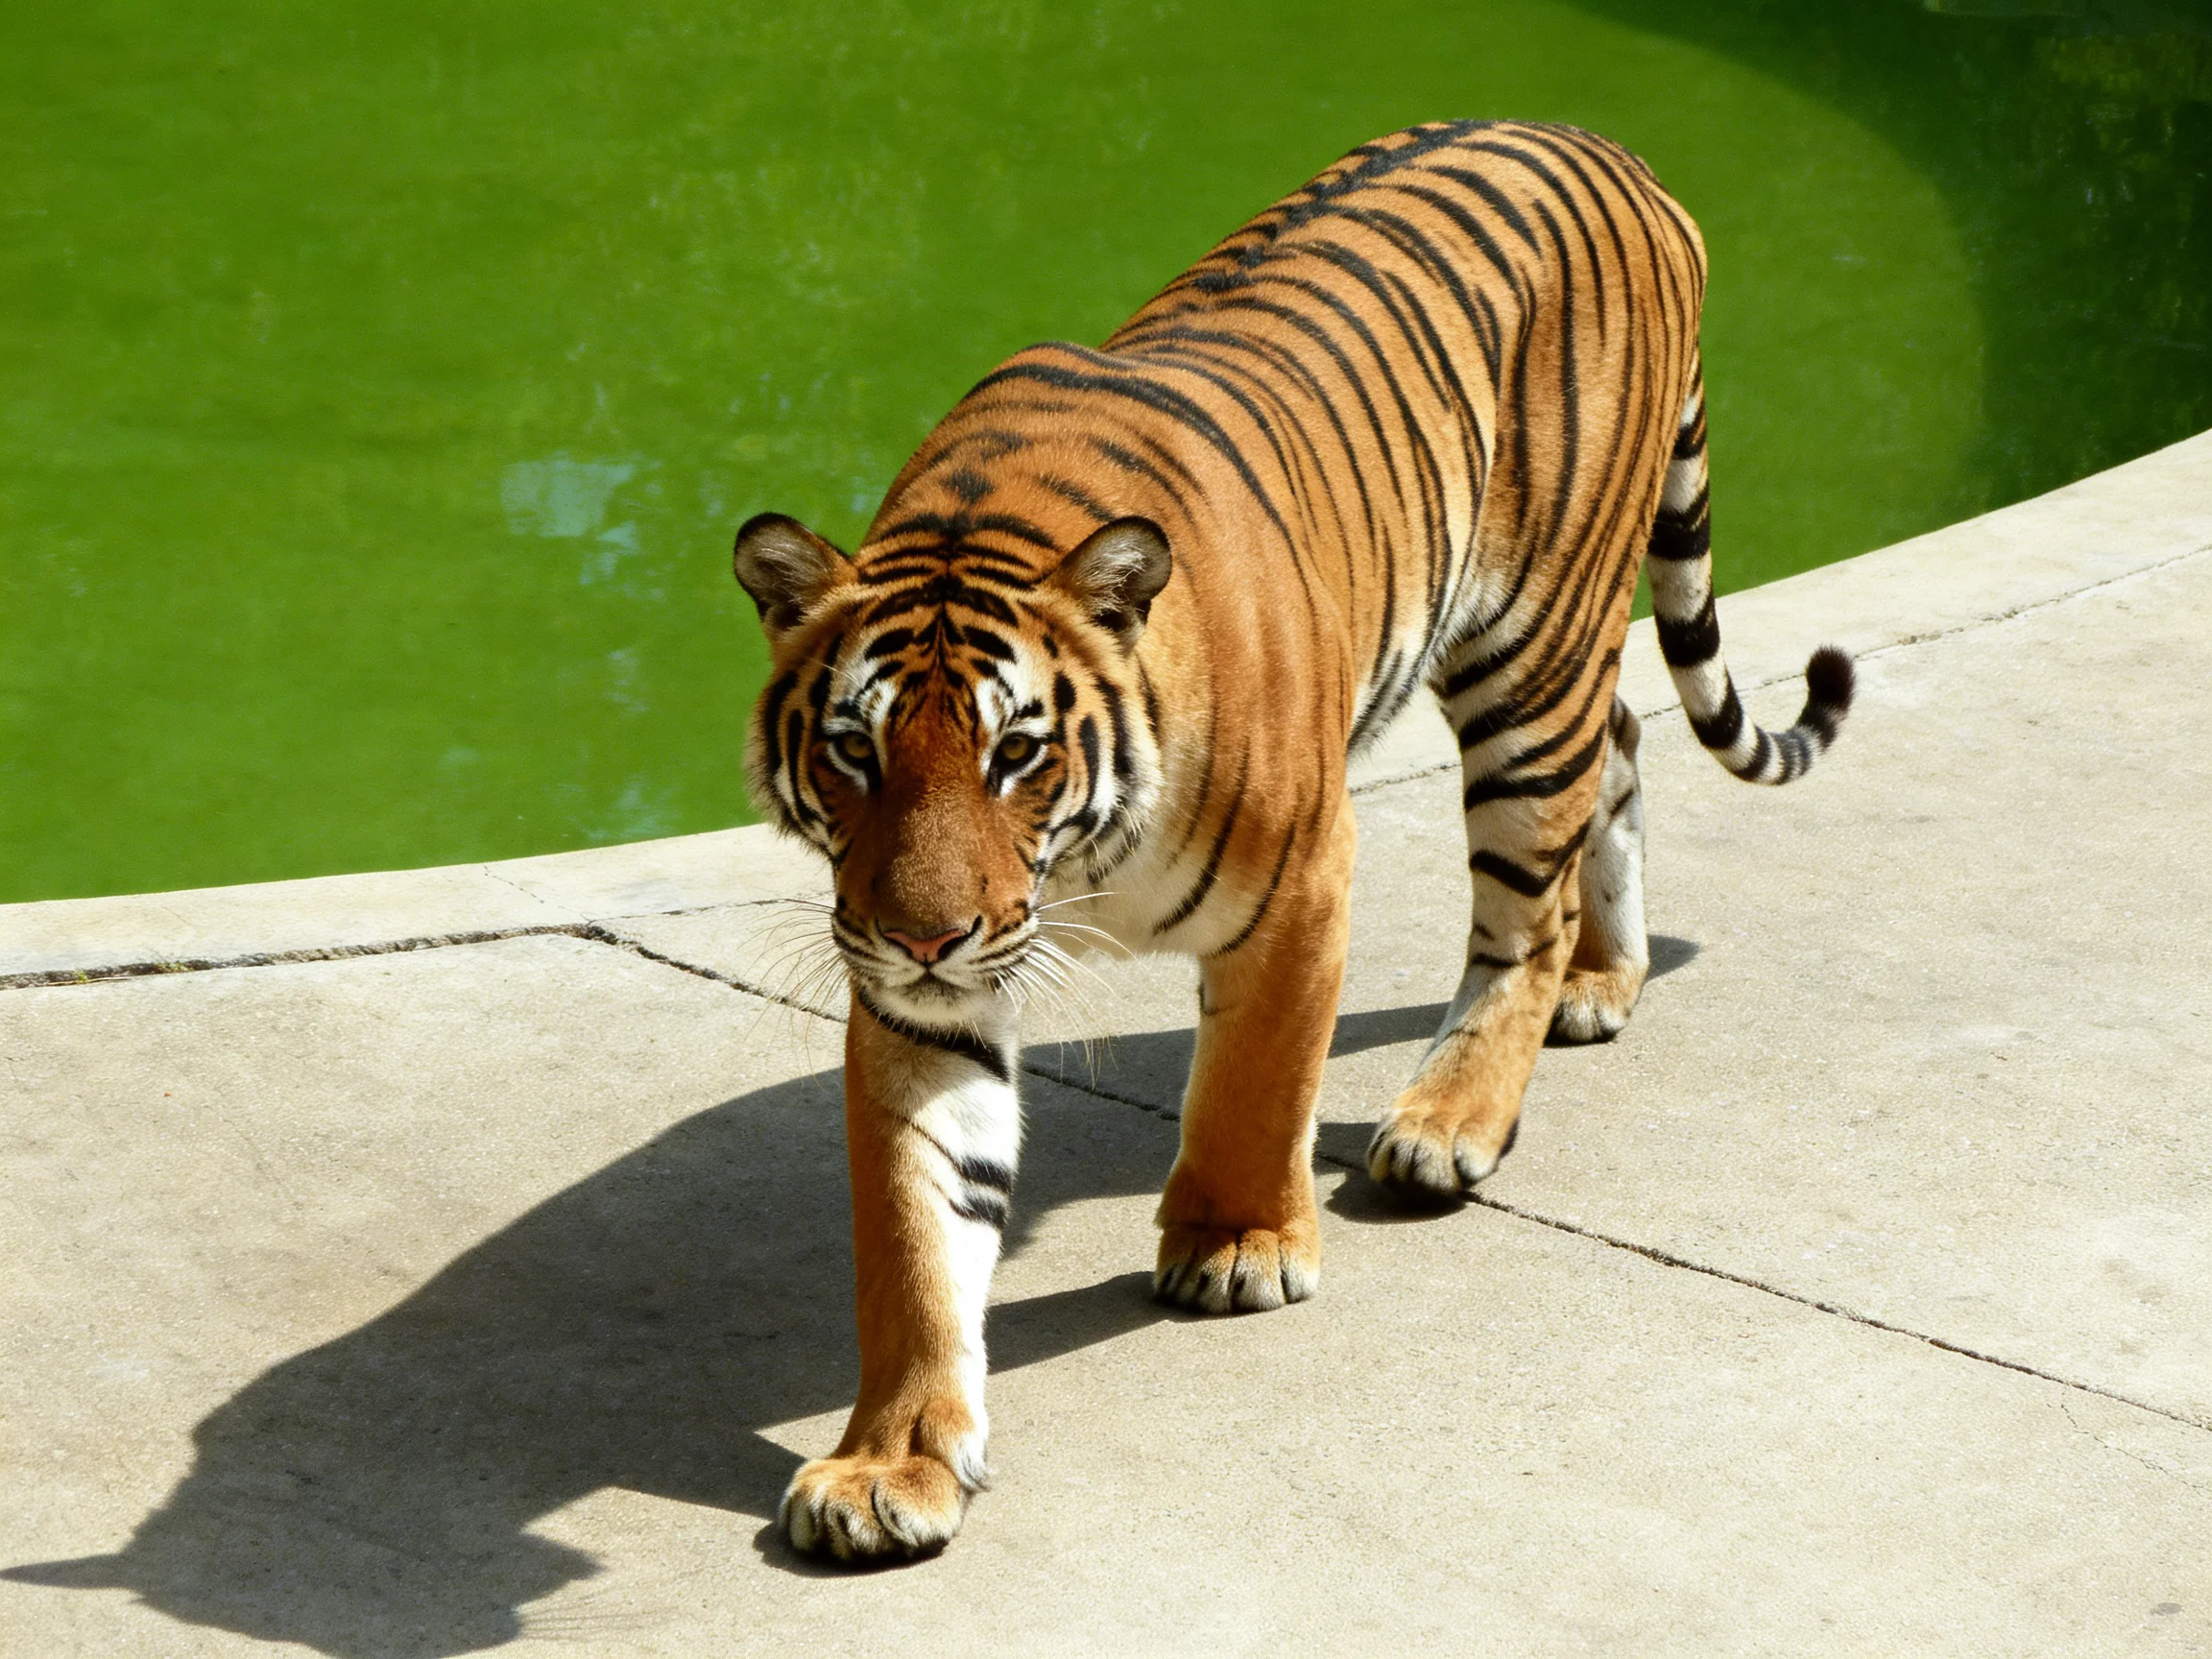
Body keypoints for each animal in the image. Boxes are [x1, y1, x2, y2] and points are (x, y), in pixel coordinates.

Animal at [730, 120, 1853, 1563]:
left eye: (1015, 754)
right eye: (856, 752)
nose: (926, 932)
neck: (1071, 863)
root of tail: (1607, 147)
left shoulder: (1302, 878)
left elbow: (1257, 1081)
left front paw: (1235, 1243)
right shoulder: (919, 991)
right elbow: (919, 1229)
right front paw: (891, 1464)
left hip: (1529, 649)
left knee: (1530, 901)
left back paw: (1455, 1116)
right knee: (1625, 750)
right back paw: (1606, 981)